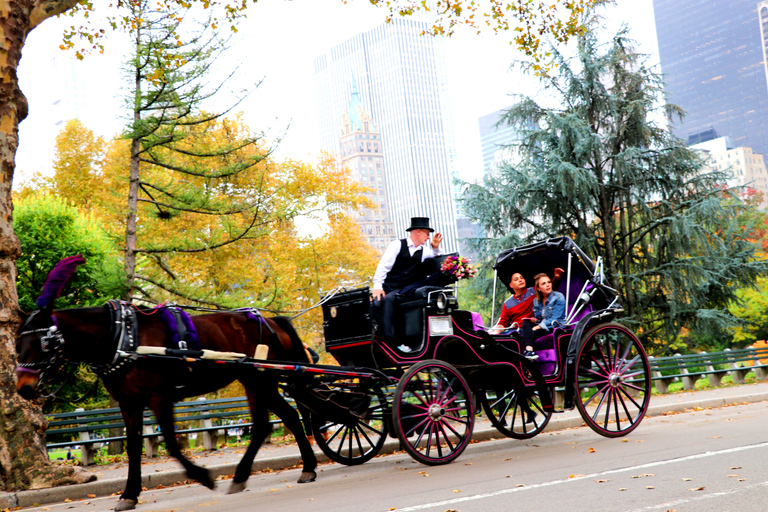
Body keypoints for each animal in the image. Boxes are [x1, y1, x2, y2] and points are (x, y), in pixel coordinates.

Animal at [15, 258, 320, 510]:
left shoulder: (159, 397)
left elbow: (172, 444)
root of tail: (270, 321)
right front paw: (129, 494)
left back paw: (255, 473)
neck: (122, 337)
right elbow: (133, 446)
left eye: (44, 343)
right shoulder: (129, 402)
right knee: (284, 418)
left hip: (259, 379)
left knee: (267, 423)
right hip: (258, 381)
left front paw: (202, 476)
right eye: (17, 343)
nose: (23, 388)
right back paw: (302, 467)